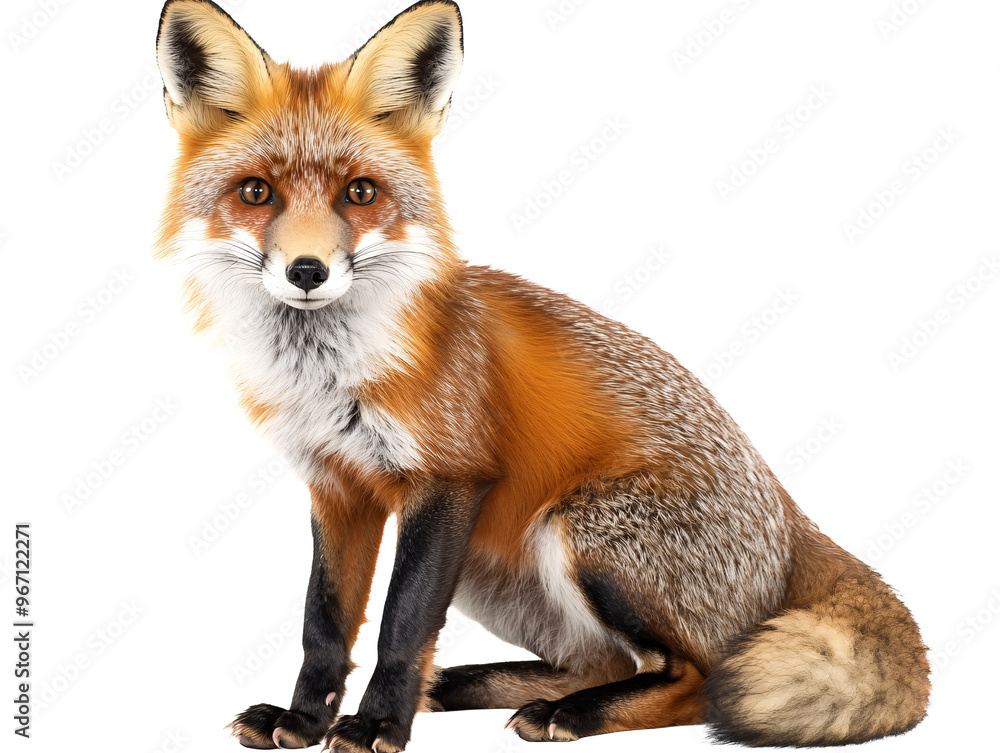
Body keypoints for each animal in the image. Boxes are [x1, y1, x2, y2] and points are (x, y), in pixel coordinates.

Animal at [154, 1, 930, 750]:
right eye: (257, 193)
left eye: (360, 193)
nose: (308, 271)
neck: (328, 375)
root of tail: (789, 513)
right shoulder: (338, 487)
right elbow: (325, 624)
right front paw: (307, 721)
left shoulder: (448, 479)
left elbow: (401, 627)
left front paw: (377, 726)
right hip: (489, 570)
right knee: (597, 661)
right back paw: (476, 688)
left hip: (582, 533)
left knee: (695, 678)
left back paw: (570, 714)